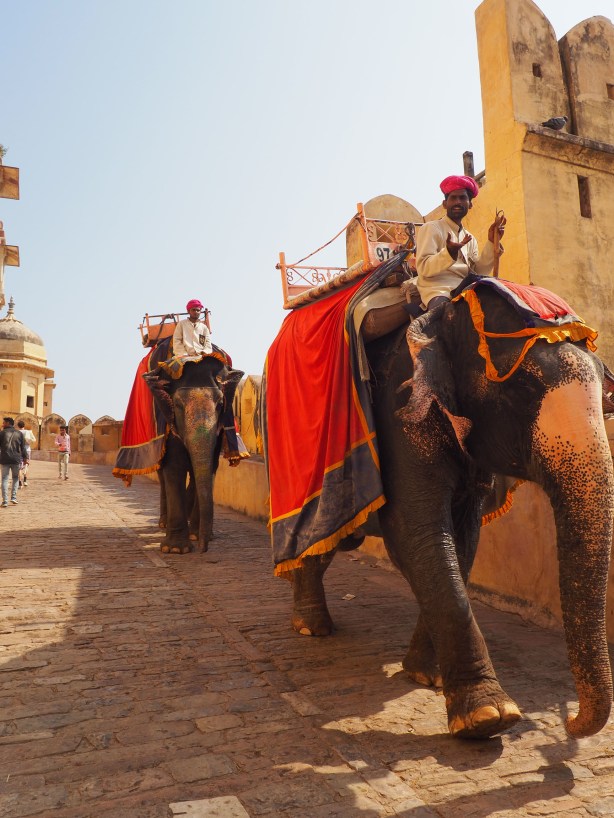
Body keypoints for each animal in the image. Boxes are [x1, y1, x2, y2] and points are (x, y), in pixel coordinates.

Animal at [145, 341, 243, 554]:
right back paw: (164, 524)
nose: (203, 549)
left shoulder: (220, 427)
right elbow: (174, 466)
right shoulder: (167, 418)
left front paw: (196, 536)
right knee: (162, 472)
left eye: (220, 404)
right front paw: (175, 549)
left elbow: (211, 466)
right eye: (178, 405)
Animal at [279, 280, 614, 740]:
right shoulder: (402, 409)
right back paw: (312, 628)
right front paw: (489, 717)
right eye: (524, 389)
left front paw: (426, 676)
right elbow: (417, 532)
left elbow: (463, 539)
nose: (569, 721)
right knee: (320, 542)